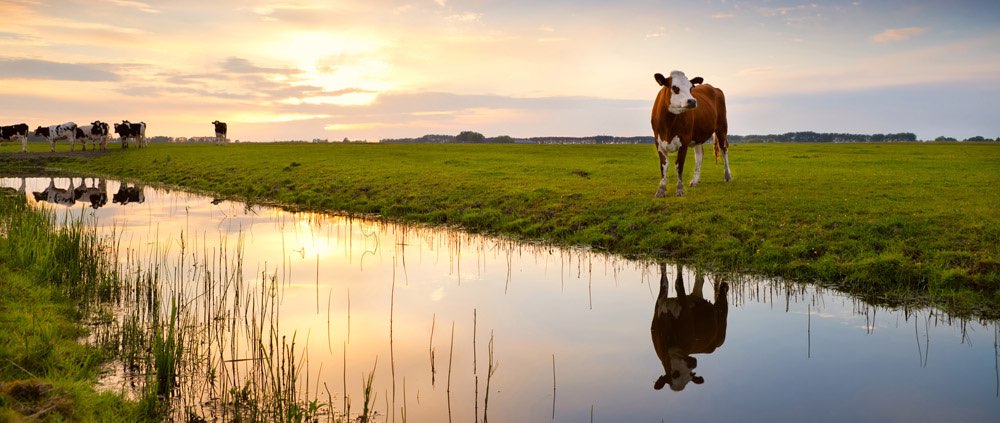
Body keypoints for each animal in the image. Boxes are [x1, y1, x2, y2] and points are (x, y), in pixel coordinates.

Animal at [648, 70, 736, 200]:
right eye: (675, 88)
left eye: (691, 88)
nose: (692, 101)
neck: (668, 123)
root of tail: (714, 88)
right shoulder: (658, 142)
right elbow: (663, 166)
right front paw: (661, 190)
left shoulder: (684, 141)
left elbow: (679, 165)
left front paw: (680, 190)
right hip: (698, 135)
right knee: (699, 156)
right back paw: (695, 180)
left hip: (722, 128)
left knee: (724, 149)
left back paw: (728, 176)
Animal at [648, 264, 728, 394]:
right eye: (674, 374)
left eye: (690, 375)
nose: (693, 363)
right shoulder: (660, 304)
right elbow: (664, 282)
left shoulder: (684, 308)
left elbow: (678, 283)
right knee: (700, 280)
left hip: (721, 328)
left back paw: (724, 286)